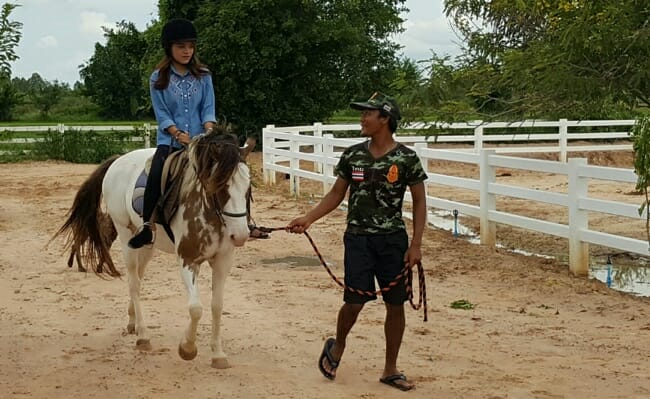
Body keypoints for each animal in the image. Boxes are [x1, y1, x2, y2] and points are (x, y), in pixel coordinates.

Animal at [52, 134, 253, 368]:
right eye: (221, 186)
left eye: (248, 186)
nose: (240, 235)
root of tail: (119, 160)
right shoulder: (187, 260)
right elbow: (195, 308)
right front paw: (187, 348)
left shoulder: (222, 261)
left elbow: (217, 306)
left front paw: (218, 354)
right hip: (125, 237)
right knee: (134, 283)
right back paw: (143, 336)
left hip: (146, 246)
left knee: (138, 278)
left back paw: (133, 323)